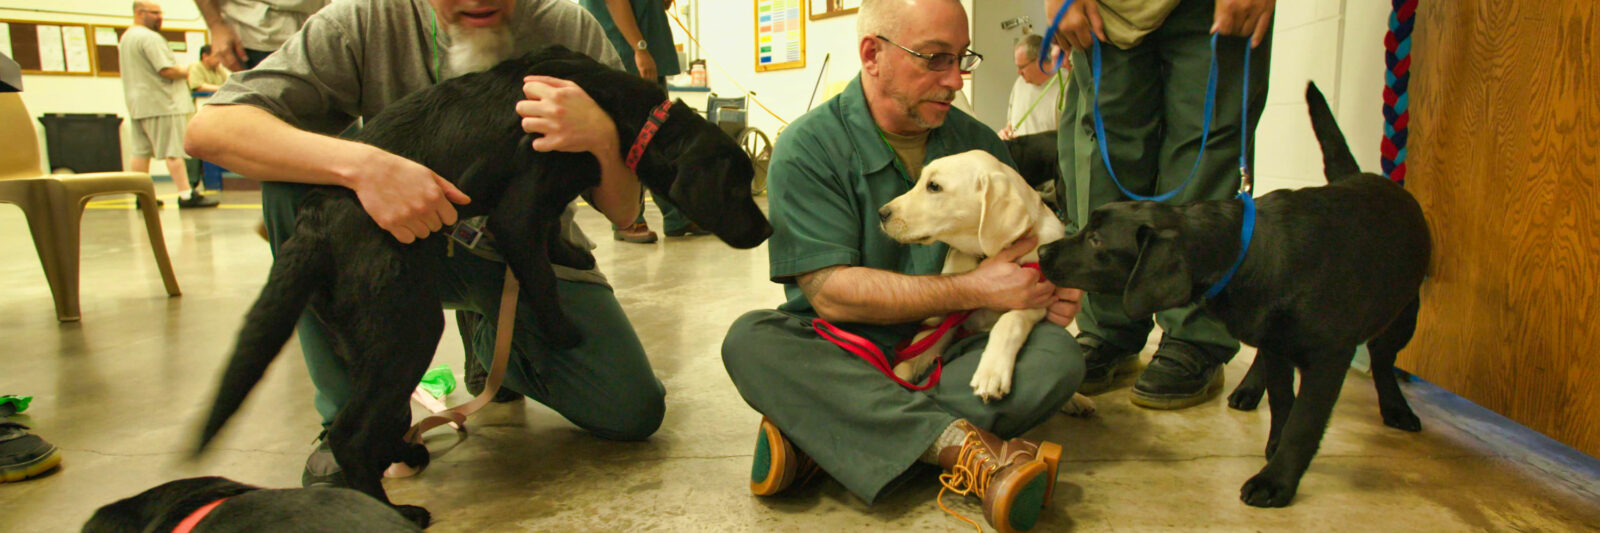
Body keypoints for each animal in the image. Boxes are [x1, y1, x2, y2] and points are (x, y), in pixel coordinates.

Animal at [196, 44, 771, 521]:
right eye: (737, 186)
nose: (767, 231)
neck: (616, 110)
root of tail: (316, 221)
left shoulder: (536, 206)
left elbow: (551, 234)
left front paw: (570, 255)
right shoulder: (517, 213)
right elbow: (539, 275)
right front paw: (564, 334)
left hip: (363, 333)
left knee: (377, 417)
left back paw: (405, 451)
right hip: (407, 323)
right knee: (351, 432)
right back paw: (395, 512)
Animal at [883, 151, 1094, 412]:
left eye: (934, 186)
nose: (882, 214)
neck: (985, 255)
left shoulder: (1036, 299)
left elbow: (1008, 322)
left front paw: (991, 372)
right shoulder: (944, 317)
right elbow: (915, 351)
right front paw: (896, 378)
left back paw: (1076, 400)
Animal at [1043, 80, 1433, 505]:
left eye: (1096, 240)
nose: (1042, 251)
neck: (1244, 251)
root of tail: (1365, 176)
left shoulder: (1330, 358)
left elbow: (1303, 422)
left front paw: (1276, 479)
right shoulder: (1278, 344)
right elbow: (1282, 402)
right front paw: (1275, 451)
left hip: (1403, 315)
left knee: (1382, 359)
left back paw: (1396, 407)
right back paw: (1247, 390)